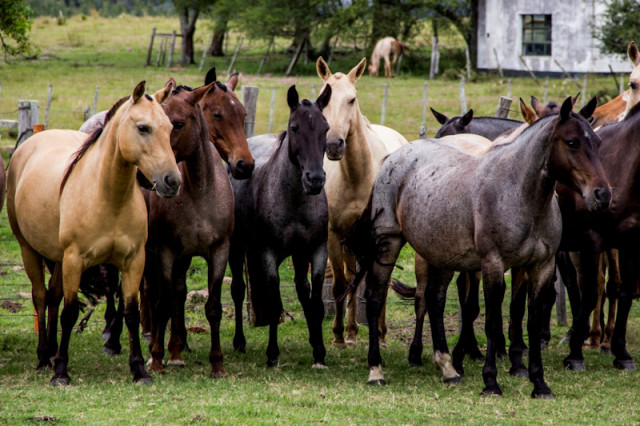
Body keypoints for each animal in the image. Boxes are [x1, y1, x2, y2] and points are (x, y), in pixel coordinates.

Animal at [6, 80, 182, 386]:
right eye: (143, 128)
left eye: (170, 128)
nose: (172, 181)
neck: (109, 197)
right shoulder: (75, 260)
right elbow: (70, 313)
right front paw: (61, 373)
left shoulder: (133, 261)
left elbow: (131, 313)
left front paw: (139, 370)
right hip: (30, 250)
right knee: (40, 296)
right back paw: (44, 357)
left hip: (59, 259)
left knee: (53, 296)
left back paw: (51, 351)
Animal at [228, 84, 332, 366]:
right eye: (295, 127)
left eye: (326, 128)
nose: (315, 179)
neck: (293, 200)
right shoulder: (268, 254)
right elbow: (274, 304)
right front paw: (272, 353)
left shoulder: (317, 250)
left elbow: (315, 302)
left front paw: (319, 351)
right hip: (235, 248)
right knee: (238, 290)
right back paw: (239, 341)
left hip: (298, 255)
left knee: (302, 289)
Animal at [316, 56, 410, 346]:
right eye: (322, 99)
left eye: (352, 99)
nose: (334, 145)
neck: (359, 177)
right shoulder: (334, 234)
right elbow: (340, 284)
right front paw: (338, 336)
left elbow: (376, 284)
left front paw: (378, 335)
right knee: (350, 277)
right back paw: (350, 331)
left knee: (381, 282)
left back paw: (379, 332)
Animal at [348, 97, 612, 400]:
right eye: (571, 142)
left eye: (597, 142)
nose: (602, 194)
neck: (519, 195)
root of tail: (393, 156)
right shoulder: (493, 265)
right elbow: (492, 322)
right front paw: (491, 382)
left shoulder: (541, 266)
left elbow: (532, 321)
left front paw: (539, 383)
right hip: (389, 245)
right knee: (377, 298)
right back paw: (376, 371)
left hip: (441, 253)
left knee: (434, 299)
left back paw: (448, 369)